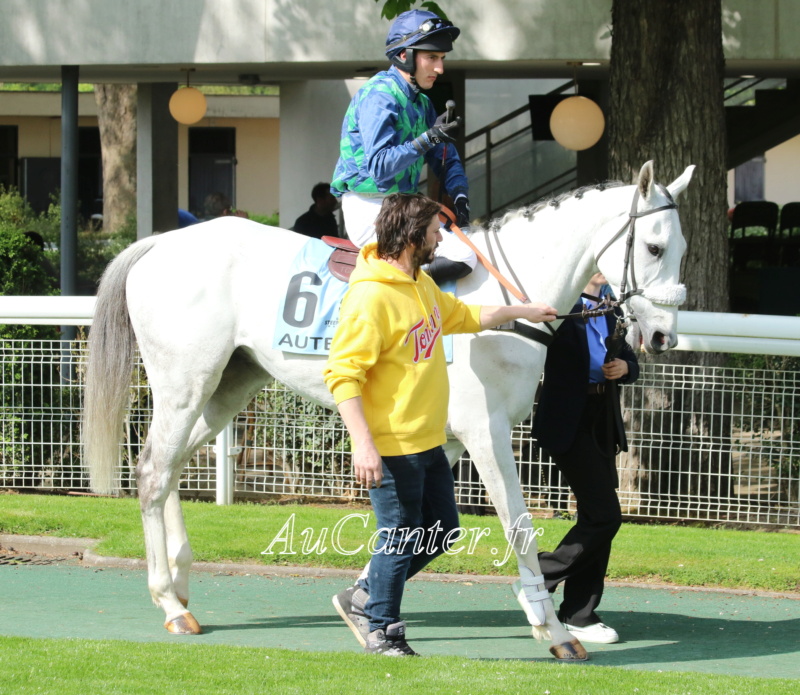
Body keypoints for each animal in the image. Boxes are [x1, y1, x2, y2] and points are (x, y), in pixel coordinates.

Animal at [83, 160, 692, 660]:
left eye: (682, 248)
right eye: (655, 248)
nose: (664, 335)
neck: (505, 300)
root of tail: (158, 244)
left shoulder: (444, 440)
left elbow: (423, 533)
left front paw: (361, 601)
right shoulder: (486, 433)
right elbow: (517, 527)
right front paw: (555, 631)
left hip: (230, 384)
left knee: (169, 468)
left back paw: (181, 583)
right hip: (185, 383)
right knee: (152, 471)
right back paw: (169, 602)